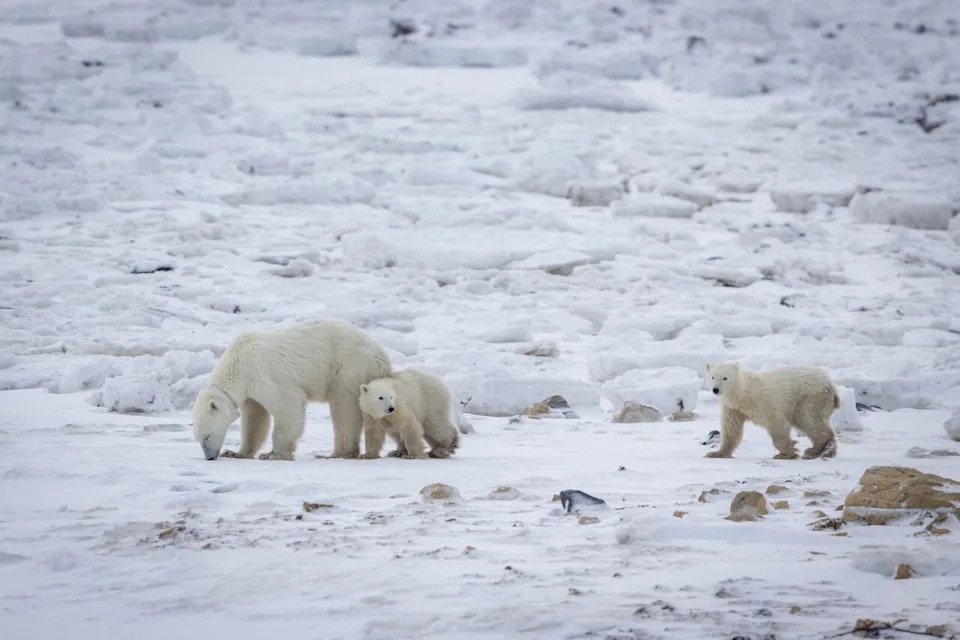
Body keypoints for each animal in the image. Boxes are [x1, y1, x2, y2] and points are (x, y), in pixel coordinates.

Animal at [192, 321, 391, 461]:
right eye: (198, 438)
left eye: (206, 437)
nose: (210, 457)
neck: (237, 361)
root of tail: (382, 356)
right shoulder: (251, 392)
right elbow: (255, 418)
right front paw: (236, 452)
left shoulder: (262, 375)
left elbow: (287, 405)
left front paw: (273, 454)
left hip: (349, 368)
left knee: (344, 408)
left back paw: (337, 452)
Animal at [704, 362, 839, 460]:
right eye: (712, 377)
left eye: (725, 378)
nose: (715, 389)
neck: (742, 394)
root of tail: (830, 383)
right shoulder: (733, 408)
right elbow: (731, 428)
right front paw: (716, 453)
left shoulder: (761, 401)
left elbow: (775, 421)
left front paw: (786, 453)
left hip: (809, 397)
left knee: (808, 419)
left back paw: (820, 450)